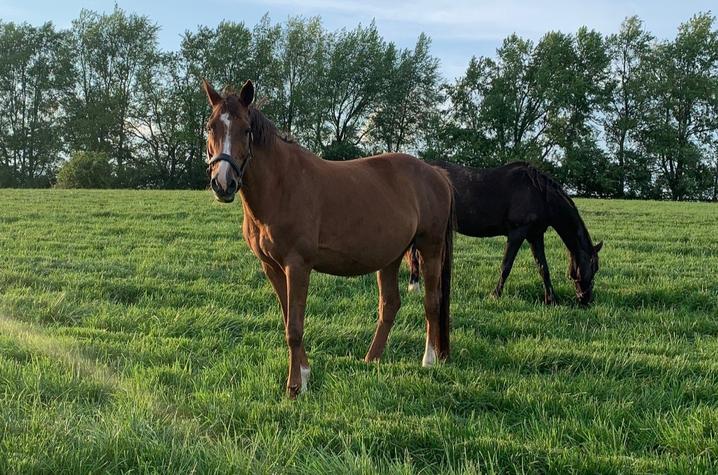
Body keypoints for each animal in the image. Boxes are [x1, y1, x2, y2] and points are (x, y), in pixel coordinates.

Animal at [202, 79, 454, 398]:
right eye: (211, 127)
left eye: (246, 129)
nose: (223, 183)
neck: (281, 185)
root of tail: (436, 173)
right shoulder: (271, 267)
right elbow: (288, 319)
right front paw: (305, 373)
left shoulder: (297, 265)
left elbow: (294, 328)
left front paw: (295, 386)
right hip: (391, 256)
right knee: (390, 305)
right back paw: (371, 359)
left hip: (430, 248)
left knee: (432, 302)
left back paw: (429, 360)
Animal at [406, 160, 602, 306]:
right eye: (593, 267)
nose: (585, 300)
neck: (539, 194)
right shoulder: (517, 233)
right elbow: (506, 265)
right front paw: (495, 295)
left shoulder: (535, 236)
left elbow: (543, 268)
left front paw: (551, 300)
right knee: (415, 254)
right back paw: (414, 286)